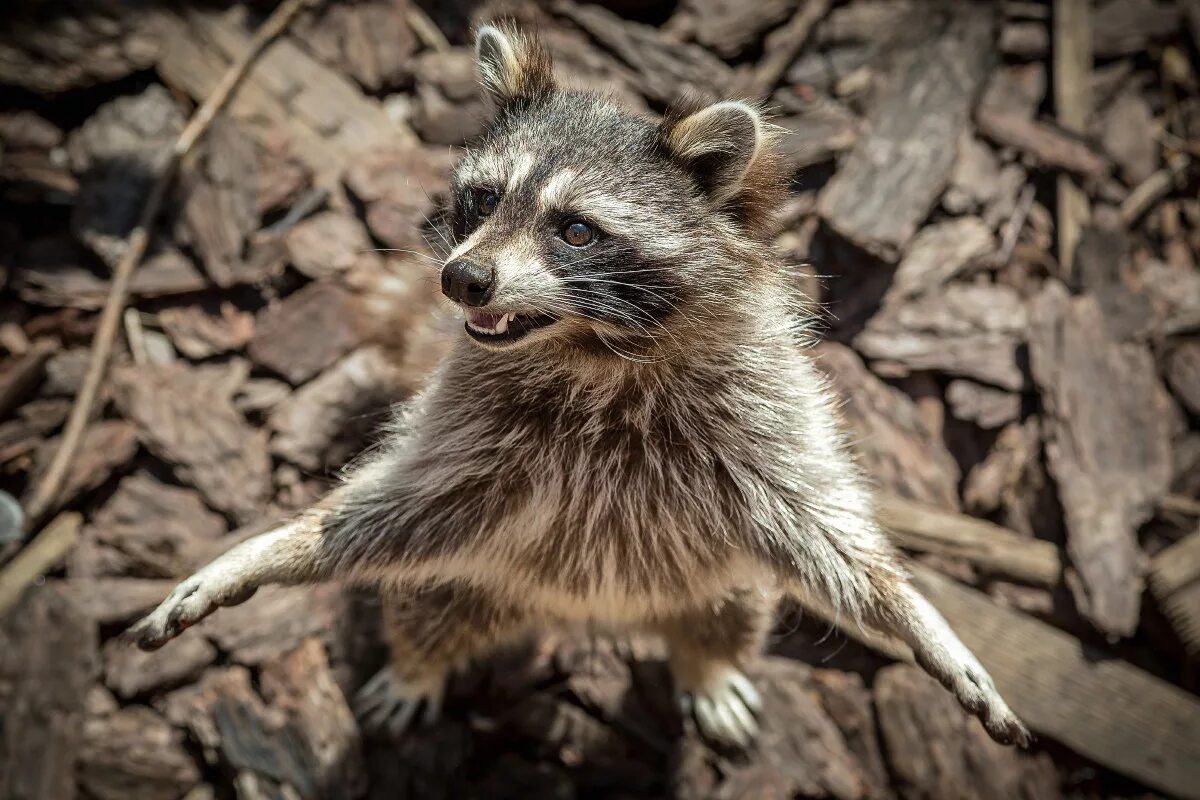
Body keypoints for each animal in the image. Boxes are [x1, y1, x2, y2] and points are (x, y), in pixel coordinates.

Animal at [131, 25, 1032, 753]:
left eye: (575, 229)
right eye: (484, 198)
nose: (462, 279)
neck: (595, 352)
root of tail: (588, 615)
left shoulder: (759, 403)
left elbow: (825, 532)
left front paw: (919, 620)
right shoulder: (476, 420)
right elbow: (394, 507)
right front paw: (270, 548)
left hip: (715, 577)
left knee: (731, 614)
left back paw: (706, 665)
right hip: (474, 579)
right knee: (425, 604)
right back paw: (418, 664)